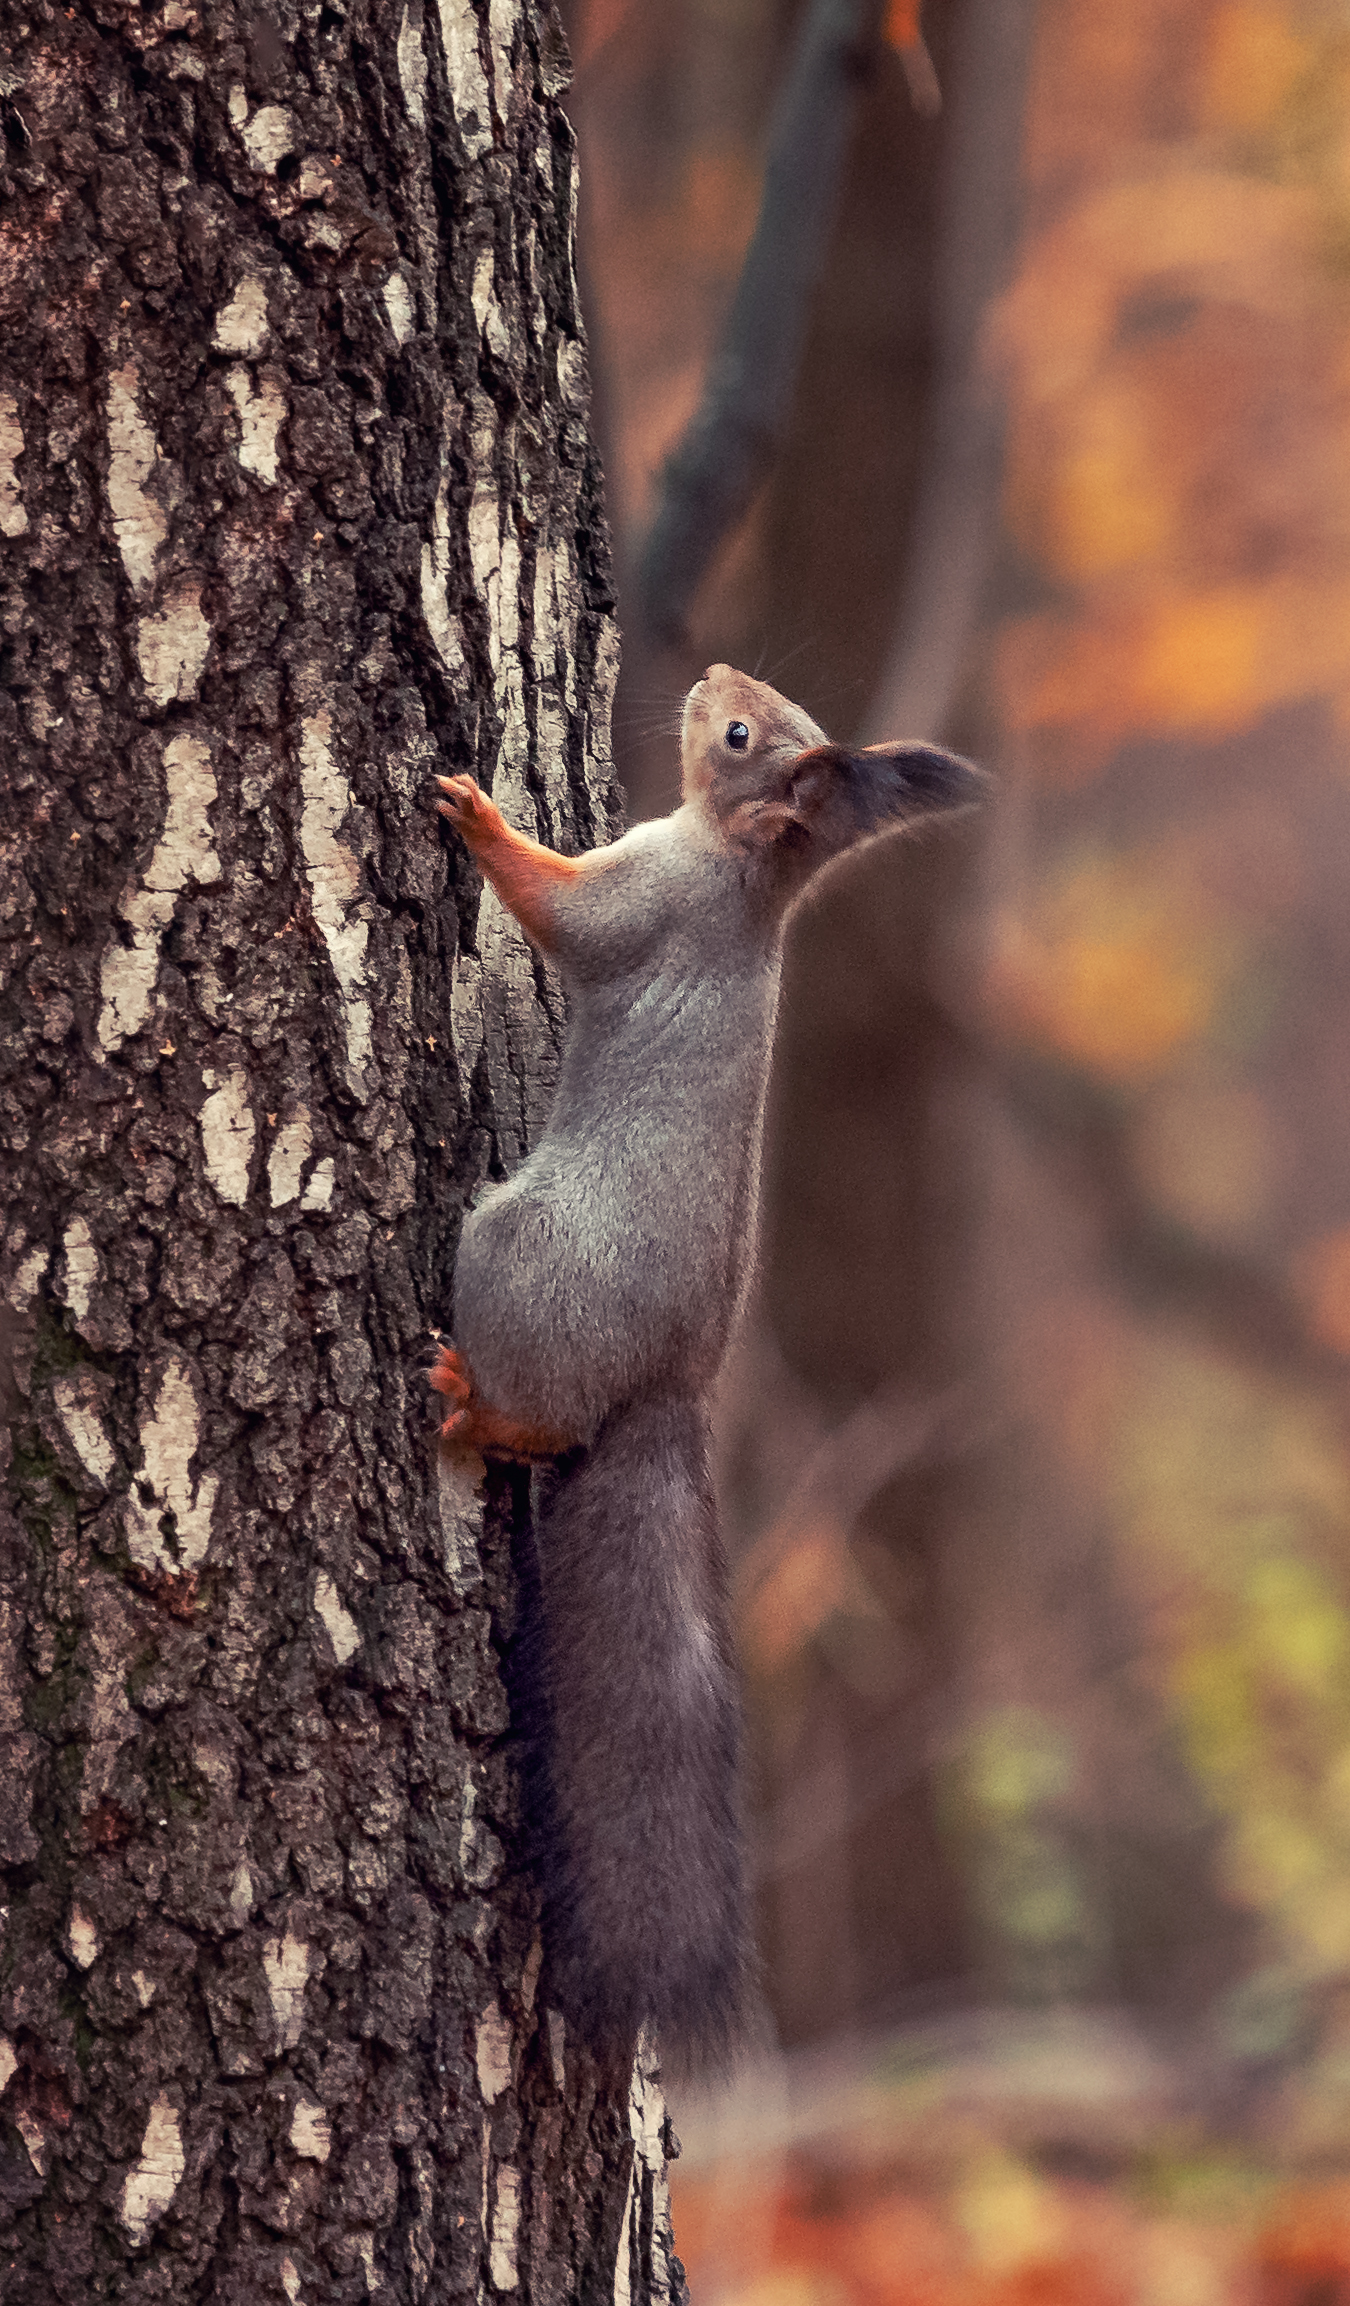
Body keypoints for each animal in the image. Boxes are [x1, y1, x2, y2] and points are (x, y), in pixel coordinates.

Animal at [429, 664, 983, 2073]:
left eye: (737, 736)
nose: (709, 679)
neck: (741, 872)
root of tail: (669, 1383)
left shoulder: (643, 902)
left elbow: (561, 909)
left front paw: (480, 815)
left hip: (519, 1249)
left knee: (540, 1422)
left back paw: (473, 1402)